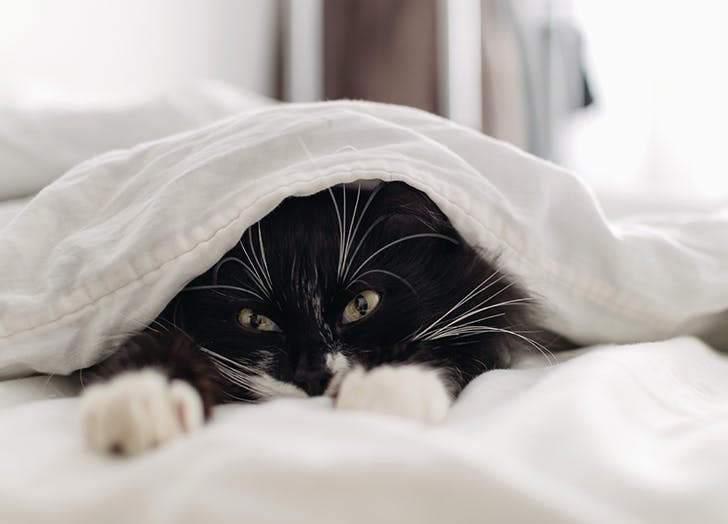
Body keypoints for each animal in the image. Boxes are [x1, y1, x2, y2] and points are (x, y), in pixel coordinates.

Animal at [79, 181, 556, 454]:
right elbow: (157, 339)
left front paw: (388, 388)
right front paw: (139, 397)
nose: (312, 375)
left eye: (362, 304)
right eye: (254, 320)